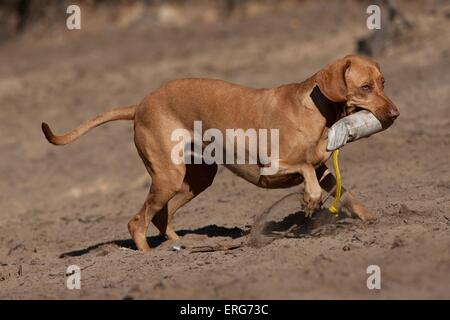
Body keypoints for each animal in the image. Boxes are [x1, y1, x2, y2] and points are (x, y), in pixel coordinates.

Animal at [43, 54, 400, 250]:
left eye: (384, 82)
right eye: (365, 88)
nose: (395, 114)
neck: (315, 109)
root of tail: (140, 104)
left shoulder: (325, 170)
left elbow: (345, 192)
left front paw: (373, 219)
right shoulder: (273, 168)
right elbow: (305, 171)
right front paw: (310, 201)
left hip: (195, 180)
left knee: (160, 216)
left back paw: (182, 244)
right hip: (168, 177)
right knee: (136, 222)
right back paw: (147, 255)